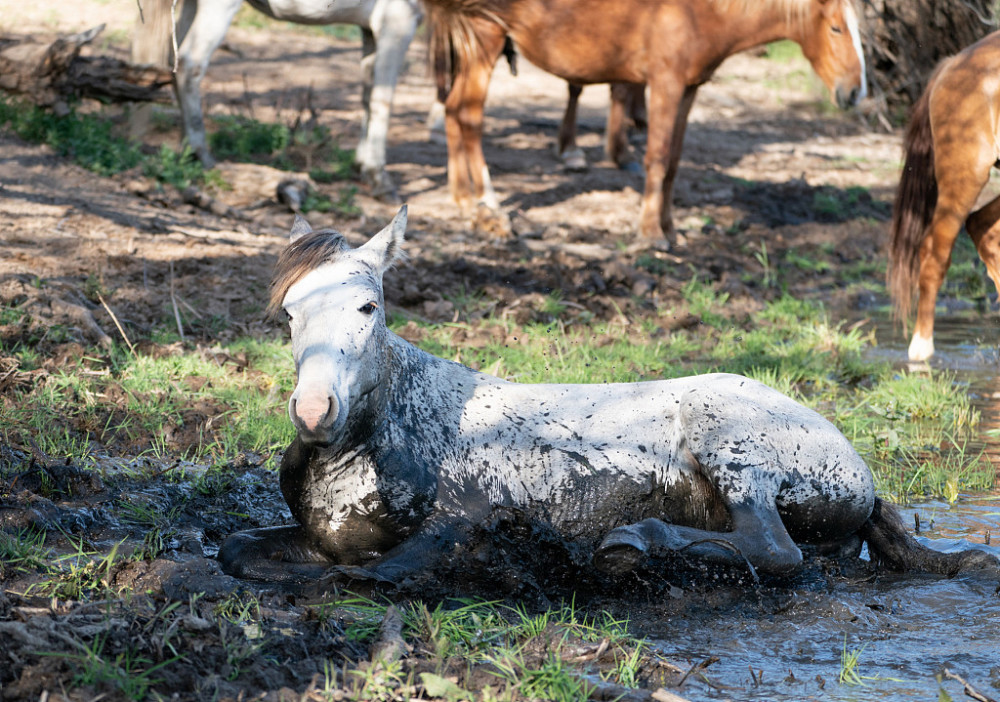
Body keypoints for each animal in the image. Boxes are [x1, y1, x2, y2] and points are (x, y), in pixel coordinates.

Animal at [135, 0, 424, 198]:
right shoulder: (399, 19)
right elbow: (382, 98)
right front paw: (379, 178)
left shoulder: (369, 28)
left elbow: (367, 95)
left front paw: (360, 165)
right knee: (188, 64)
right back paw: (201, 154)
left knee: (173, 61)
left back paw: (185, 149)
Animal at [215, 210, 996, 588]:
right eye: (289, 313)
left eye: (368, 306)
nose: (314, 413)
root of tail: (860, 471)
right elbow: (237, 549)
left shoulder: (459, 521)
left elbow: (372, 576)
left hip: (732, 448)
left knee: (775, 550)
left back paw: (631, 545)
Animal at [428, 0, 868, 242]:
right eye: (835, 28)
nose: (855, 92)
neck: (699, 11)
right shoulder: (665, 85)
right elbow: (656, 158)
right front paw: (650, 234)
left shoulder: (689, 89)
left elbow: (672, 162)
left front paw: (670, 228)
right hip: (483, 39)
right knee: (469, 115)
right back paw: (488, 200)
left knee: (453, 111)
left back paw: (462, 196)